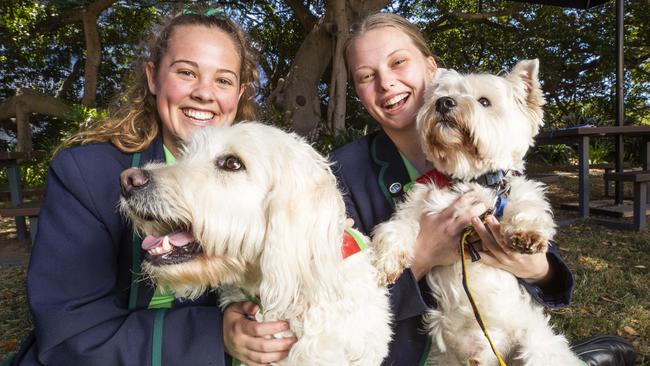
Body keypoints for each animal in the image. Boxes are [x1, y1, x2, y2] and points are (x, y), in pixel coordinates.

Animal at [370, 60, 584, 366]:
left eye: (484, 101)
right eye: (440, 95)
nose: (444, 103)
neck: (469, 177)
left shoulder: (514, 193)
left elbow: (529, 205)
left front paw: (526, 234)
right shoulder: (416, 207)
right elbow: (395, 228)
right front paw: (385, 261)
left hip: (537, 349)